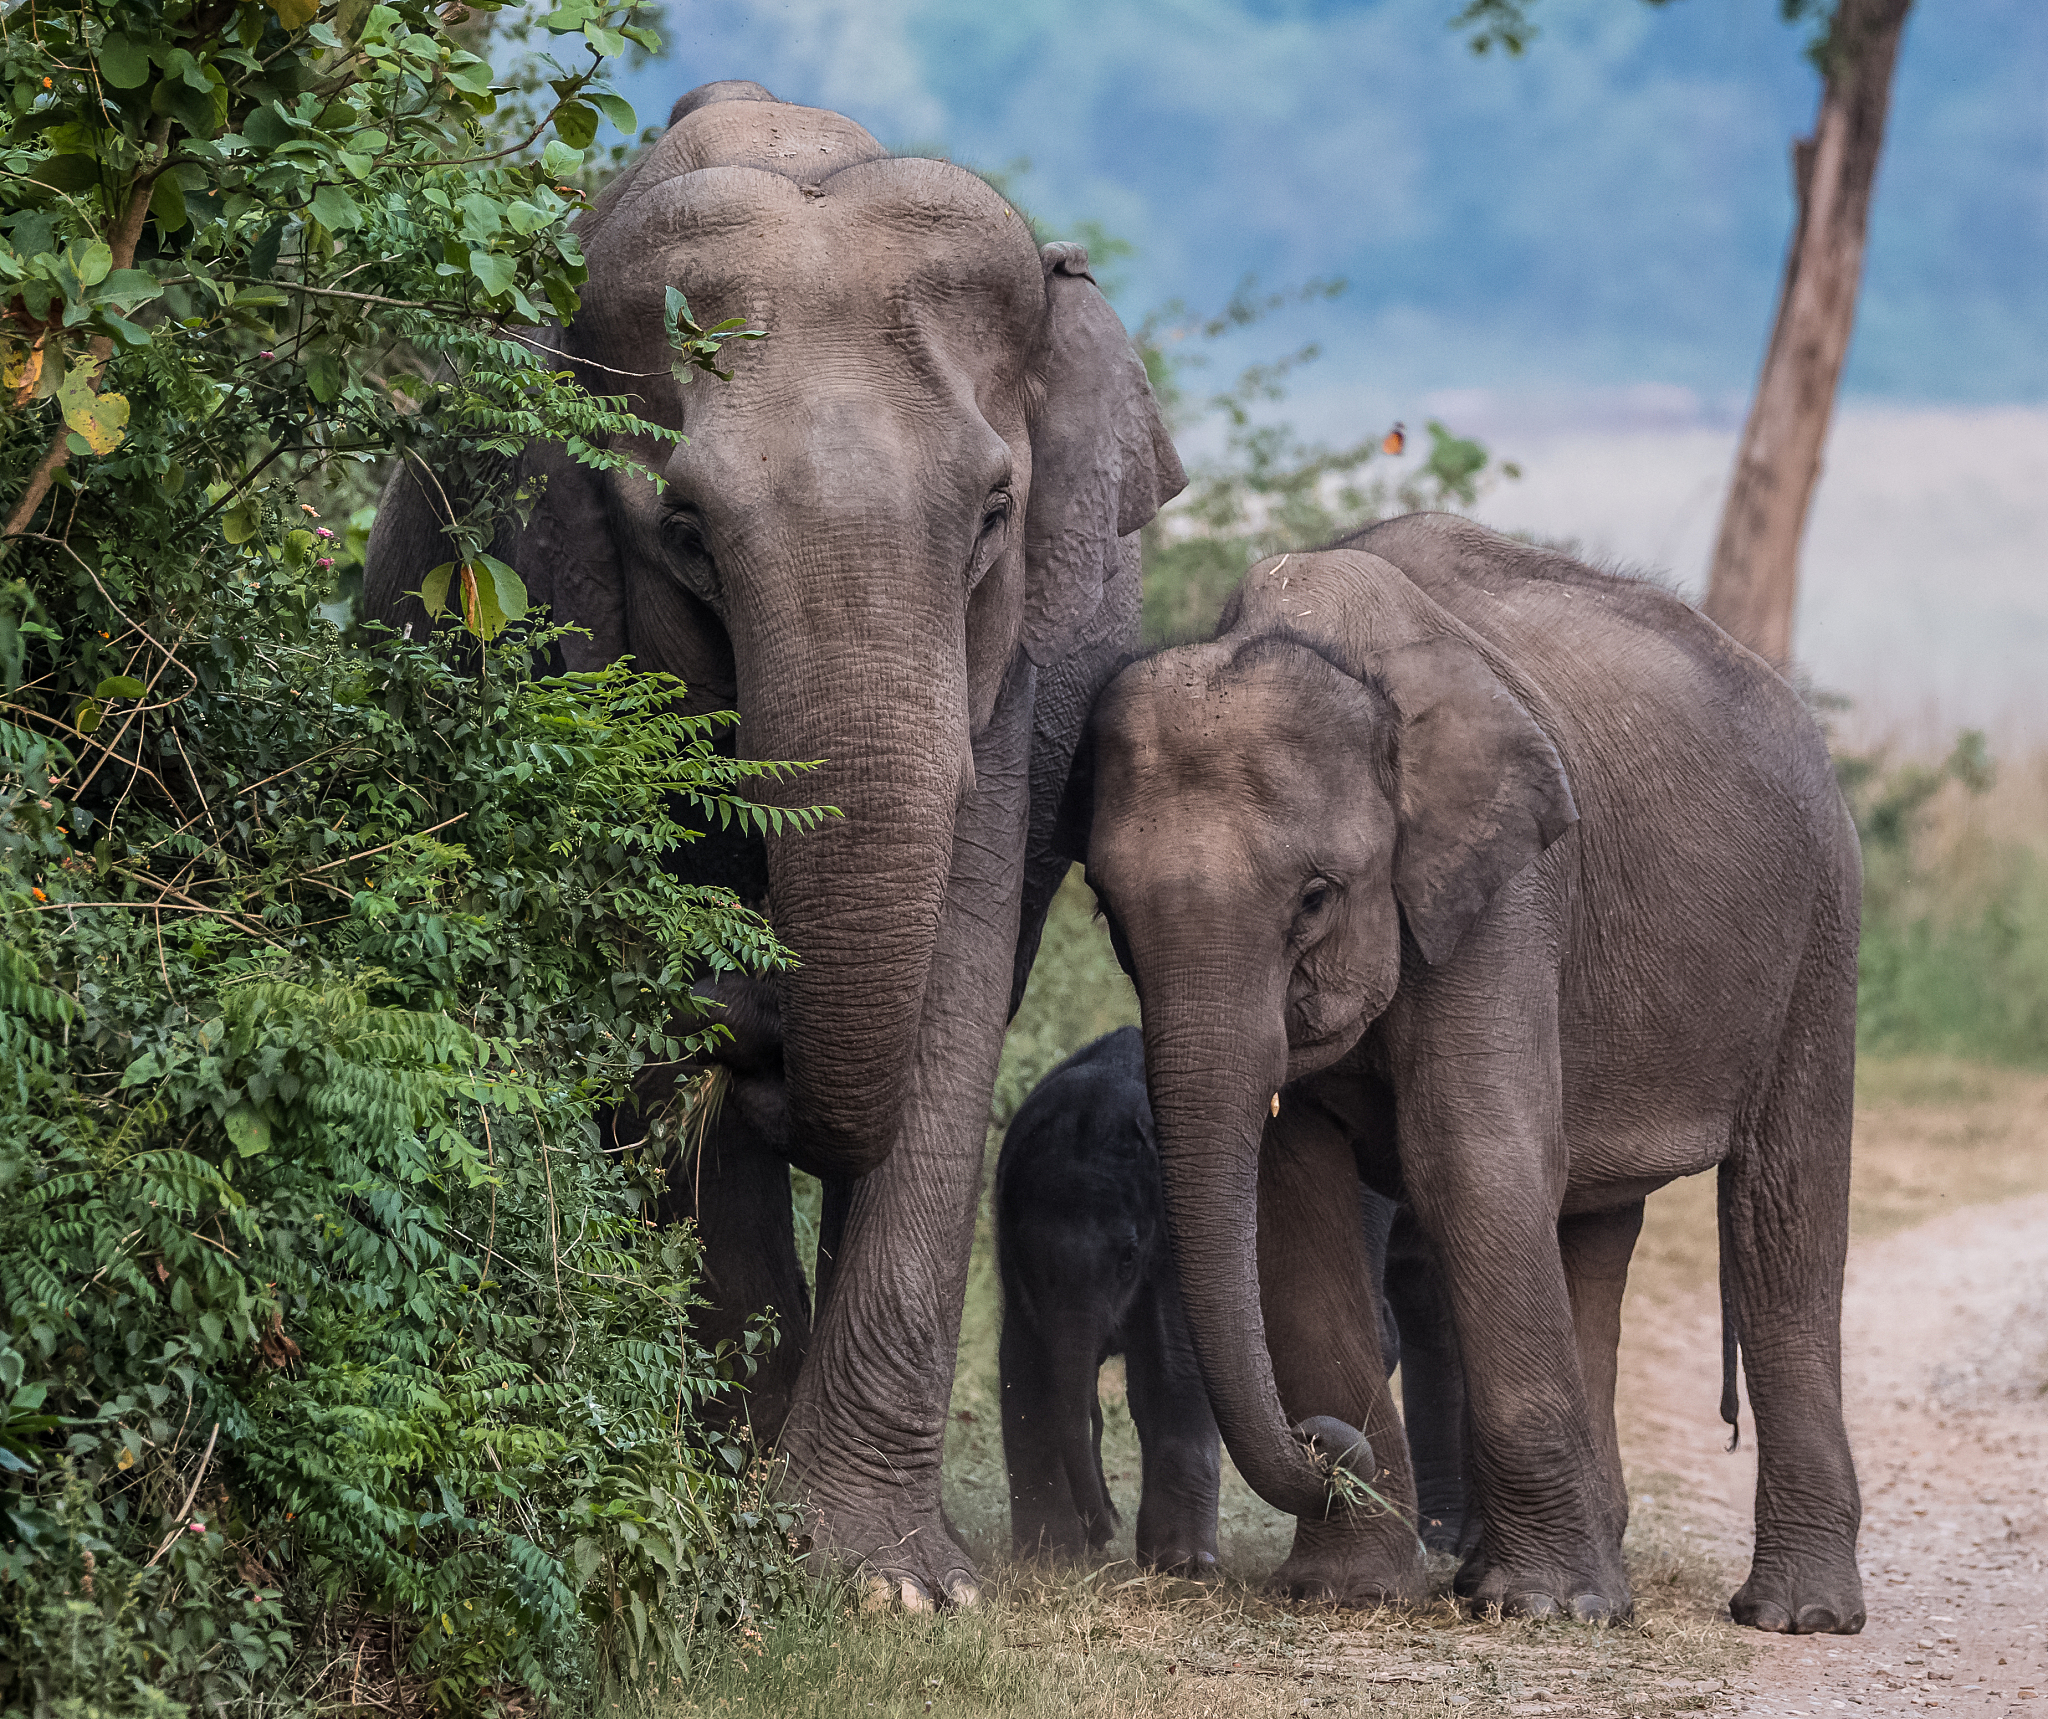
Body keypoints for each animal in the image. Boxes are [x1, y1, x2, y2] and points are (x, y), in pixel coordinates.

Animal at [363, 81, 1185, 1606]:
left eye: (994, 514)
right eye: (685, 531)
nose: (754, 1019)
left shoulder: (1014, 675)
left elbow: (953, 987)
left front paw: (891, 1586)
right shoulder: (550, 598)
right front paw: (759, 1539)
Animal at [1057, 513, 1863, 1631]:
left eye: (1315, 896)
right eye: (1107, 913)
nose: (1324, 1445)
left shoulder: (1506, 886)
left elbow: (1470, 1164)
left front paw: (1547, 1612)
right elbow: (1291, 1187)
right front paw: (1348, 1591)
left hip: (1821, 918)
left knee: (1779, 1213)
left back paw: (1792, 1616)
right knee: (1590, 1223)